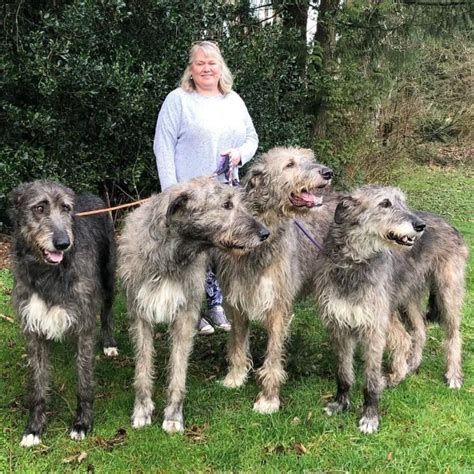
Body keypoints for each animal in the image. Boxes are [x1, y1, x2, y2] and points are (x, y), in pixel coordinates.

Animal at [7, 180, 118, 446]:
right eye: (39, 208)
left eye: (66, 208)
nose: (63, 243)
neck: (48, 273)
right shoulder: (32, 328)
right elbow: (37, 384)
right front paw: (34, 428)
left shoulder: (85, 326)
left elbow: (84, 381)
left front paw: (82, 423)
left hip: (109, 278)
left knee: (107, 312)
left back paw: (109, 344)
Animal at [118, 175, 270, 434]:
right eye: (227, 204)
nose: (264, 233)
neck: (171, 254)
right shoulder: (140, 313)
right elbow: (142, 366)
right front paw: (142, 410)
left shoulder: (185, 314)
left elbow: (178, 368)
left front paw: (173, 416)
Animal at [215, 146, 334, 412]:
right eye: (290, 164)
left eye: (310, 159)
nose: (328, 172)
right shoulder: (237, 299)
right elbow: (237, 343)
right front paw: (235, 376)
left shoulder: (278, 304)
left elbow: (273, 354)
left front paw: (268, 398)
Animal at [314, 184, 466, 434]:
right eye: (385, 203)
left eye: (402, 202)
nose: (420, 226)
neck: (355, 263)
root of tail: (449, 224)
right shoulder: (339, 325)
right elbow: (343, 373)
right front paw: (340, 403)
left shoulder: (374, 328)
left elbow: (370, 380)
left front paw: (370, 416)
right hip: (406, 298)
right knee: (416, 332)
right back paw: (408, 368)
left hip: (447, 292)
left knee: (453, 335)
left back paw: (453, 375)